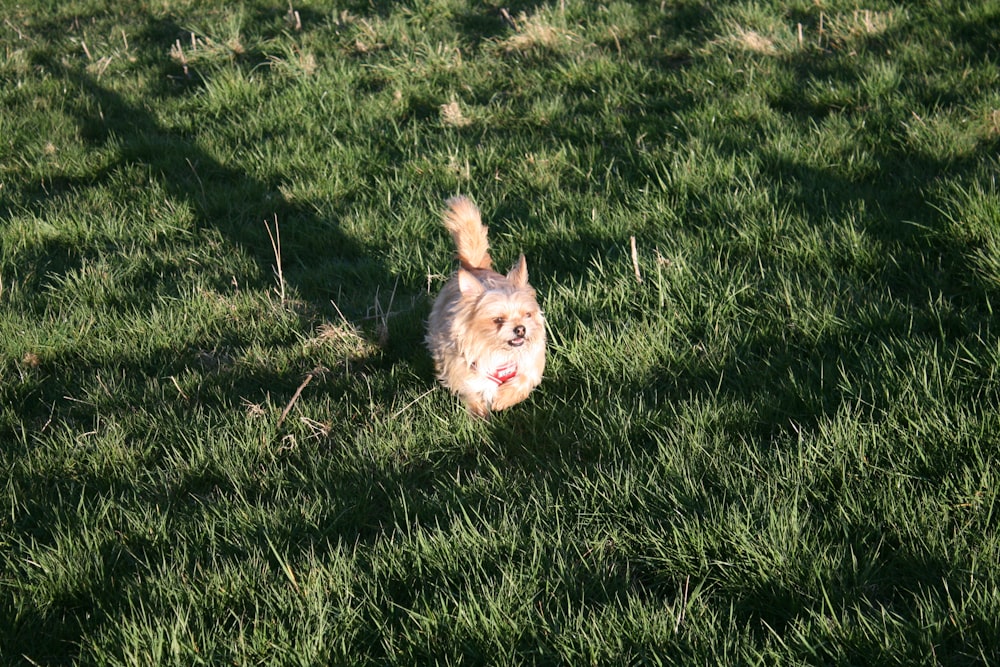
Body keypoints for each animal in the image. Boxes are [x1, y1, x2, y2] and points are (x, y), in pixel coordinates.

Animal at [424, 196, 544, 420]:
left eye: (527, 315)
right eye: (498, 320)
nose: (521, 329)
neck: (500, 354)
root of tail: (474, 266)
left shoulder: (531, 362)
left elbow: (523, 380)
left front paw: (503, 399)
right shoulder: (463, 369)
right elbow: (473, 392)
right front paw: (480, 415)